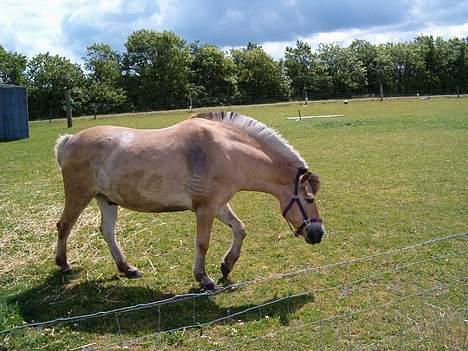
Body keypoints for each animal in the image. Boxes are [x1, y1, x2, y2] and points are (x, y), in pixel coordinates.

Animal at [54, 111, 326, 290]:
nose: (318, 233)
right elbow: (202, 244)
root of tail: (69, 141)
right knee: (64, 226)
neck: (227, 153)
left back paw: (127, 268)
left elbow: (240, 229)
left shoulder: (219, 205)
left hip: (106, 199)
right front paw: (203, 279)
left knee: (108, 232)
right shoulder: (205, 209)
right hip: (80, 195)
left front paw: (227, 266)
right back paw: (63, 265)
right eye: (309, 198)